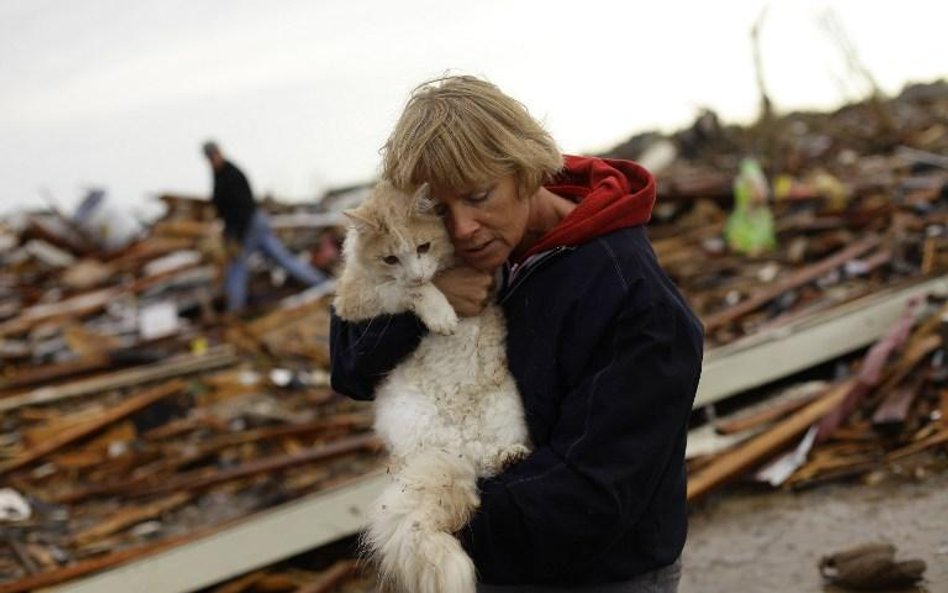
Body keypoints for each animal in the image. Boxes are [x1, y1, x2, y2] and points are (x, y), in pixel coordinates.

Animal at [334, 179, 528, 592]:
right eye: (391, 259)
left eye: (423, 247)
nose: (418, 273)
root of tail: (457, 453)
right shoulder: (356, 299)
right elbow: (404, 292)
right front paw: (441, 314)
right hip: (418, 424)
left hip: (503, 412)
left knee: (488, 460)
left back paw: (509, 455)